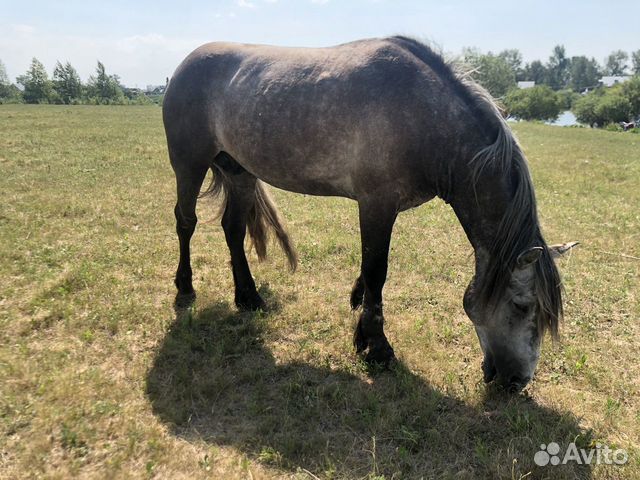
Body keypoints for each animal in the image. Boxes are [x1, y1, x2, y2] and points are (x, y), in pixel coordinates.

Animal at [162, 36, 576, 390]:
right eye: (522, 306)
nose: (517, 382)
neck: (422, 116)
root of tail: (183, 65)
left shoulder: (380, 208)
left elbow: (368, 270)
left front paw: (359, 316)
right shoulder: (377, 204)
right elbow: (378, 271)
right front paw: (377, 347)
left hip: (240, 172)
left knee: (232, 229)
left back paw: (248, 298)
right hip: (189, 163)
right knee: (186, 222)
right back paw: (185, 289)